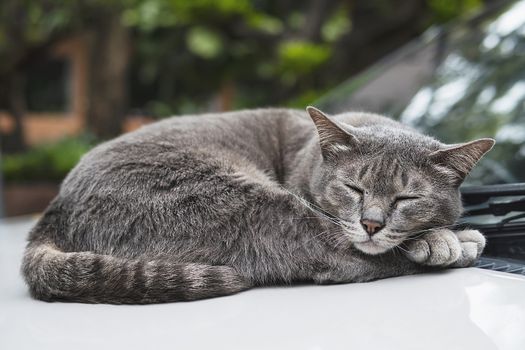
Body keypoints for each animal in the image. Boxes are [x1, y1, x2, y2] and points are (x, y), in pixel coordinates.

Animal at [22, 106, 494, 304]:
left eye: (407, 197)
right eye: (354, 188)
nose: (372, 223)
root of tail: (55, 207)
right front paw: (443, 238)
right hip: (254, 204)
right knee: (345, 261)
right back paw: (461, 242)